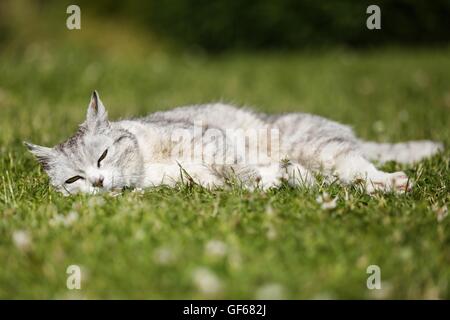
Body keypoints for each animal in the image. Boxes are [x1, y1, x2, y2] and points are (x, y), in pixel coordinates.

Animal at [24, 90, 442, 195]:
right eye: (74, 180)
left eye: (104, 155)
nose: (97, 182)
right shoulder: (191, 180)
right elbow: (218, 181)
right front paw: (266, 182)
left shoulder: (209, 138)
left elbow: (231, 162)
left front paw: (253, 178)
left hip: (320, 146)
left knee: (360, 168)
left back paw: (390, 182)